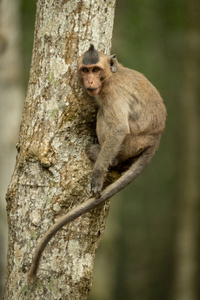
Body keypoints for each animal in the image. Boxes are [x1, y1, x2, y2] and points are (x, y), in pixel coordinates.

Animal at [27, 44, 166, 282]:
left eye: (95, 70)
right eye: (85, 70)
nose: (90, 81)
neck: (110, 77)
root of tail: (154, 140)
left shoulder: (112, 94)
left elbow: (118, 127)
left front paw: (98, 174)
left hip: (132, 142)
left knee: (105, 115)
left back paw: (102, 155)